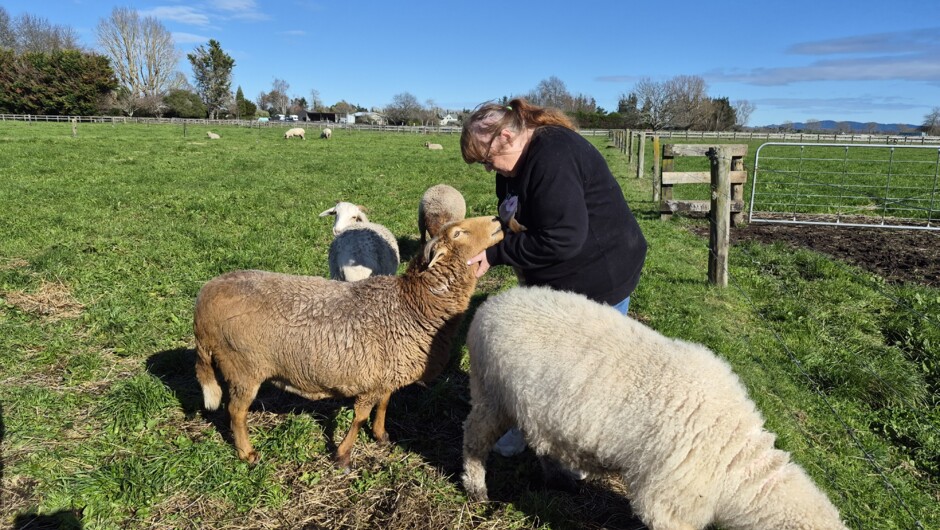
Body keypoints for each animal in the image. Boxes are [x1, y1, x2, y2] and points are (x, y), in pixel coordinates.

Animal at [193, 215, 505, 468]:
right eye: (458, 233)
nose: (498, 219)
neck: (412, 305)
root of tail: (204, 297)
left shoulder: (387, 373)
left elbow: (384, 404)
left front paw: (380, 435)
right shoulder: (369, 380)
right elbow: (360, 417)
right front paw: (343, 455)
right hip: (244, 367)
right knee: (236, 412)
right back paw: (247, 454)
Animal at [462, 286, 849, 530]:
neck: (735, 466)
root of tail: (495, 301)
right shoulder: (665, 505)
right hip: (489, 391)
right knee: (474, 440)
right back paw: (476, 490)